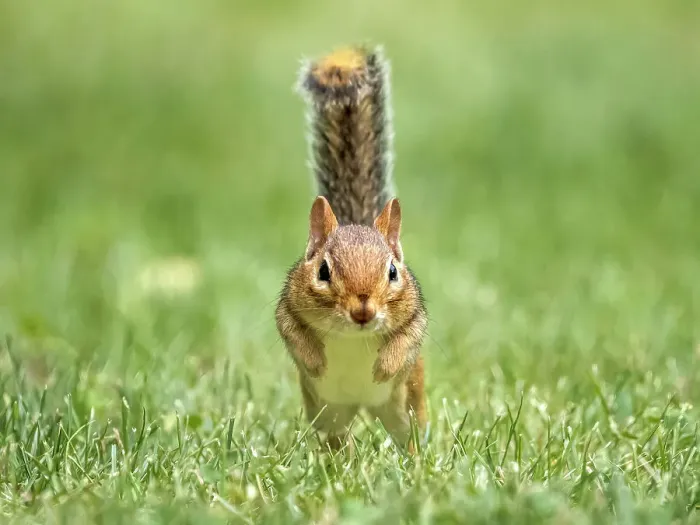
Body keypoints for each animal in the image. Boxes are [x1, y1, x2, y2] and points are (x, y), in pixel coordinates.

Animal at [275, 45, 428, 452]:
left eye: (392, 271)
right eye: (323, 271)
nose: (363, 311)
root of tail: (364, 407)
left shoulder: (416, 317)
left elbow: (404, 341)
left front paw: (383, 367)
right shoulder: (286, 309)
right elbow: (295, 335)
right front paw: (315, 361)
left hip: (405, 405)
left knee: (409, 435)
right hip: (328, 412)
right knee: (335, 437)